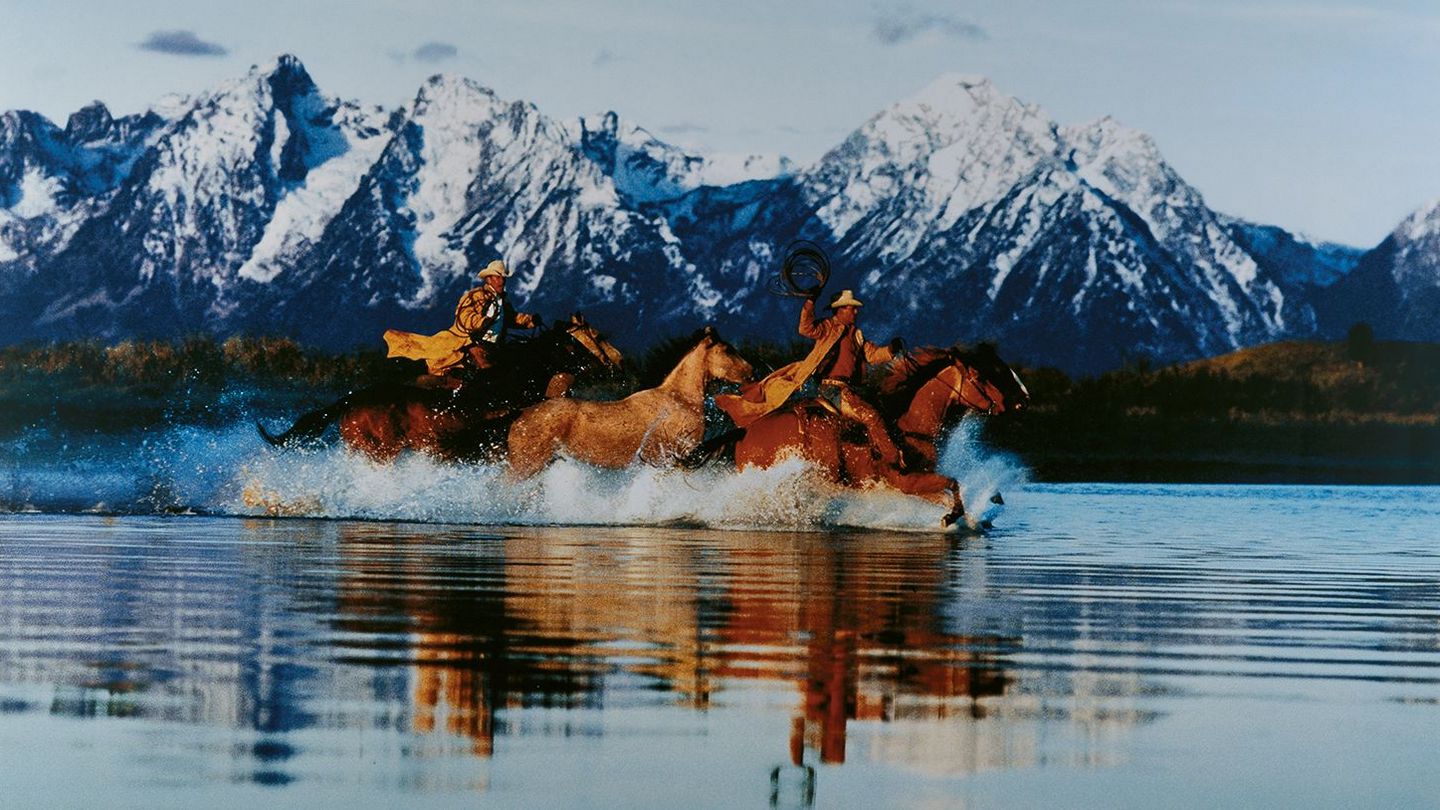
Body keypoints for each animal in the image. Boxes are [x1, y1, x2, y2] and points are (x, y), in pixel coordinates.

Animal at [506, 325, 754, 475]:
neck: (679, 400)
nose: (751, 372)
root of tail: (520, 415)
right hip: (525, 467)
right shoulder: (678, 455)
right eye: (727, 350)